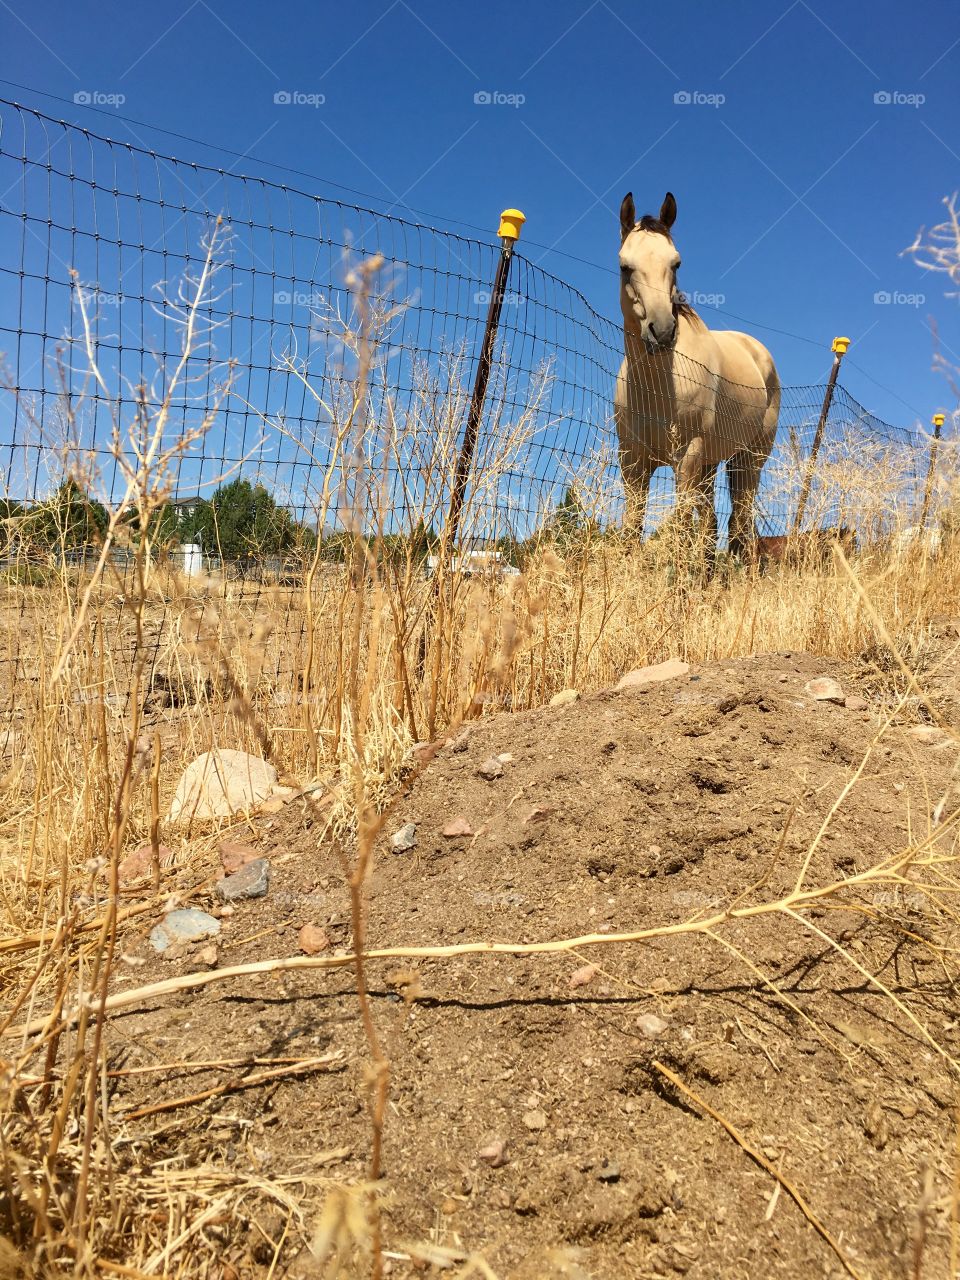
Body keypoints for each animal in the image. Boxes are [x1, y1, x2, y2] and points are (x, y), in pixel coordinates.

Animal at [616, 192, 783, 563]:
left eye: (676, 263)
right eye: (624, 266)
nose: (663, 332)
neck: (659, 385)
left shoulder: (687, 459)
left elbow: (680, 527)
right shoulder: (633, 463)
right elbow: (632, 530)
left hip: (748, 462)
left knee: (739, 522)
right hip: (711, 465)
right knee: (712, 524)